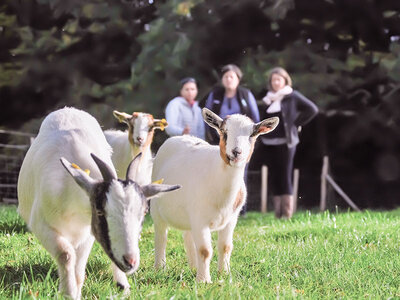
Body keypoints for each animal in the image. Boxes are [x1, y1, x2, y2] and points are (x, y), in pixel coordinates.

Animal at [17, 107, 180, 298]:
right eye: (100, 211)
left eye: (144, 212)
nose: (130, 261)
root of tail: (68, 109)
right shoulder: (41, 225)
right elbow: (66, 255)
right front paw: (68, 293)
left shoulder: (87, 232)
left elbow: (79, 272)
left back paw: (122, 284)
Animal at [150, 108, 278, 284]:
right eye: (224, 132)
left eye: (252, 134)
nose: (236, 152)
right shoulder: (200, 218)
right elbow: (205, 250)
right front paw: (204, 281)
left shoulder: (232, 218)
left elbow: (225, 247)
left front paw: (224, 274)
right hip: (157, 208)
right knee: (161, 236)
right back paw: (160, 268)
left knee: (188, 237)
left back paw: (193, 268)